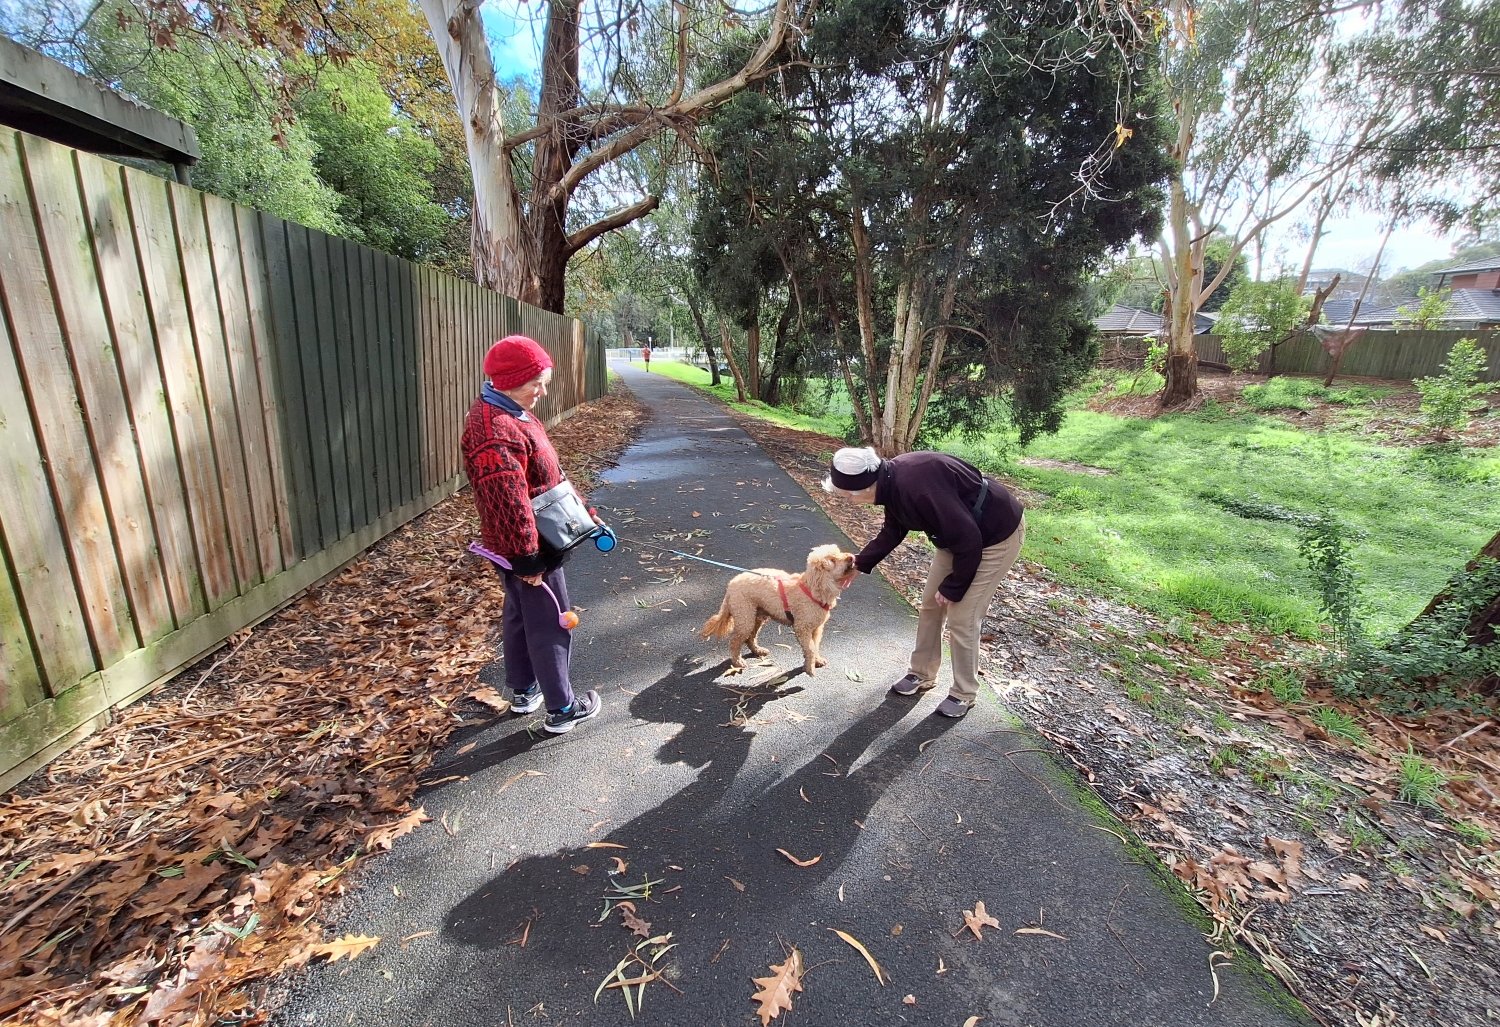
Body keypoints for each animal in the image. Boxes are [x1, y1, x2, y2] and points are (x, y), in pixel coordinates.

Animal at [699, 539, 858, 677]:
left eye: (839, 552)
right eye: (832, 560)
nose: (851, 557)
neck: (812, 589)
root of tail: (730, 586)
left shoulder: (816, 629)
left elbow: (815, 646)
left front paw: (817, 661)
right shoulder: (803, 628)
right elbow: (810, 649)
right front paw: (810, 669)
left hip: (758, 616)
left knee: (751, 637)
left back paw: (758, 650)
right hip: (745, 617)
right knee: (734, 642)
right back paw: (738, 662)